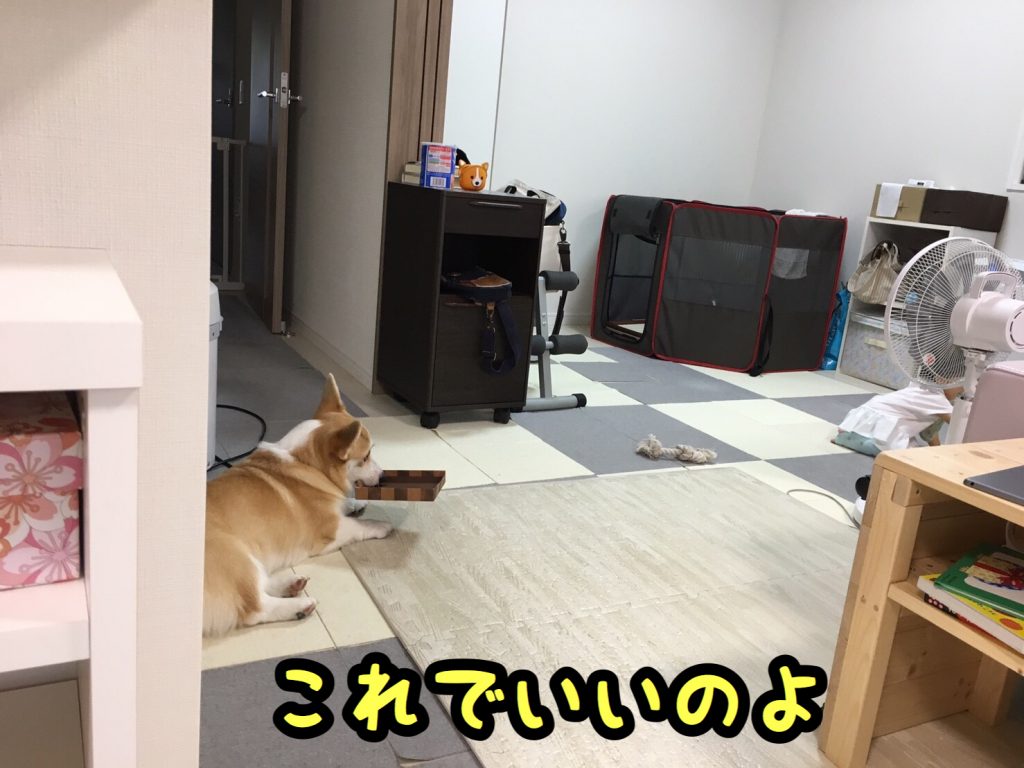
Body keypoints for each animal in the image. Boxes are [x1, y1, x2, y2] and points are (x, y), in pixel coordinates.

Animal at [203, 374, 392, 637]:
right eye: (365, 457)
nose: (383, 476)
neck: (308, 464)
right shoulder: (333, 531)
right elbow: (360, 525)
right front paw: (382, 525)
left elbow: (347, 503)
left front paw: (356, 502)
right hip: (237, 556)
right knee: (255, 607)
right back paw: (298, 605)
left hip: (250, 560)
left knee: (262, 584)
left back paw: (291, 585)